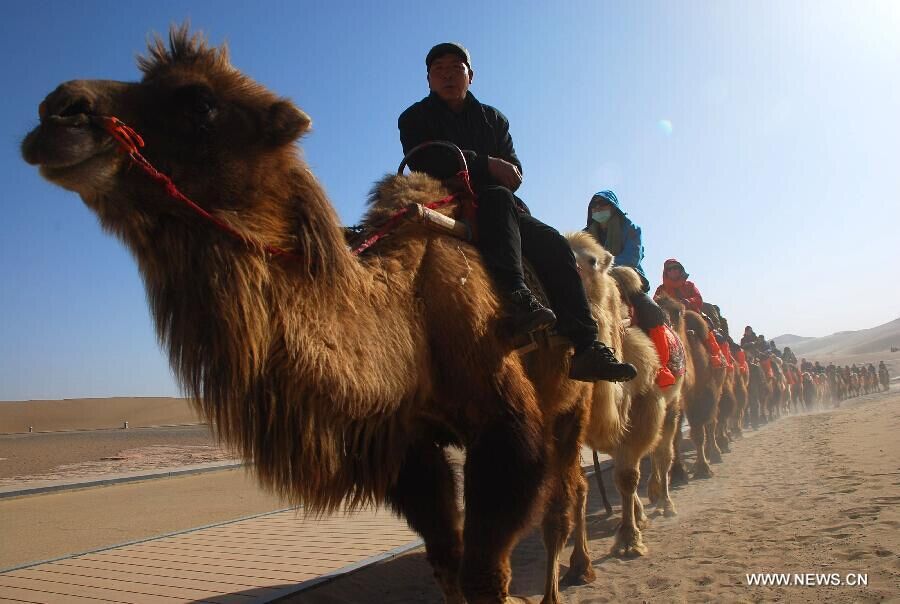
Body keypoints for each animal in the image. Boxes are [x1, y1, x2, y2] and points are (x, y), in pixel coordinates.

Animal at [17, 28, 596, 604]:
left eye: (199, 102)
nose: (56, 110)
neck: (413, 311)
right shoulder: (406, 442)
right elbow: (448, 561)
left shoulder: (506, 426)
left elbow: (485, 571)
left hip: (571, 403)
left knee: (565, 498)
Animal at [564, 232, 684, 560]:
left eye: (591, 260)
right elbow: (621, 470)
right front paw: (633, 525)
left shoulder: (647, 404)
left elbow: (629, 474)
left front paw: (629, 541)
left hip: (672, 403)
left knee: (663, 452)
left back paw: (666, 504)